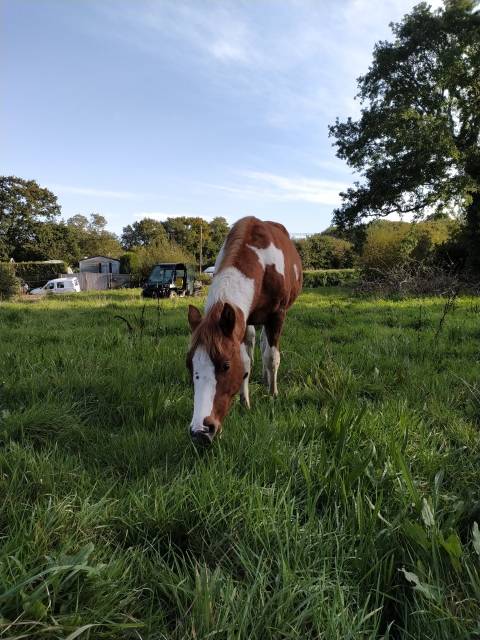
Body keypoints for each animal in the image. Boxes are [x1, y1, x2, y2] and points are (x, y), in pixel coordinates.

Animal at [186, 215, 302, 444]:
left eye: (226, 366)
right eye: (189, 364)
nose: (201, 432)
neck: (262, 262)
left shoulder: (277, 315)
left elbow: (272, 357)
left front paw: (273, 394)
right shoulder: (241, 320)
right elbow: (246, 360)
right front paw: (245, 401)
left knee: (267, 347)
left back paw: (268, 380)